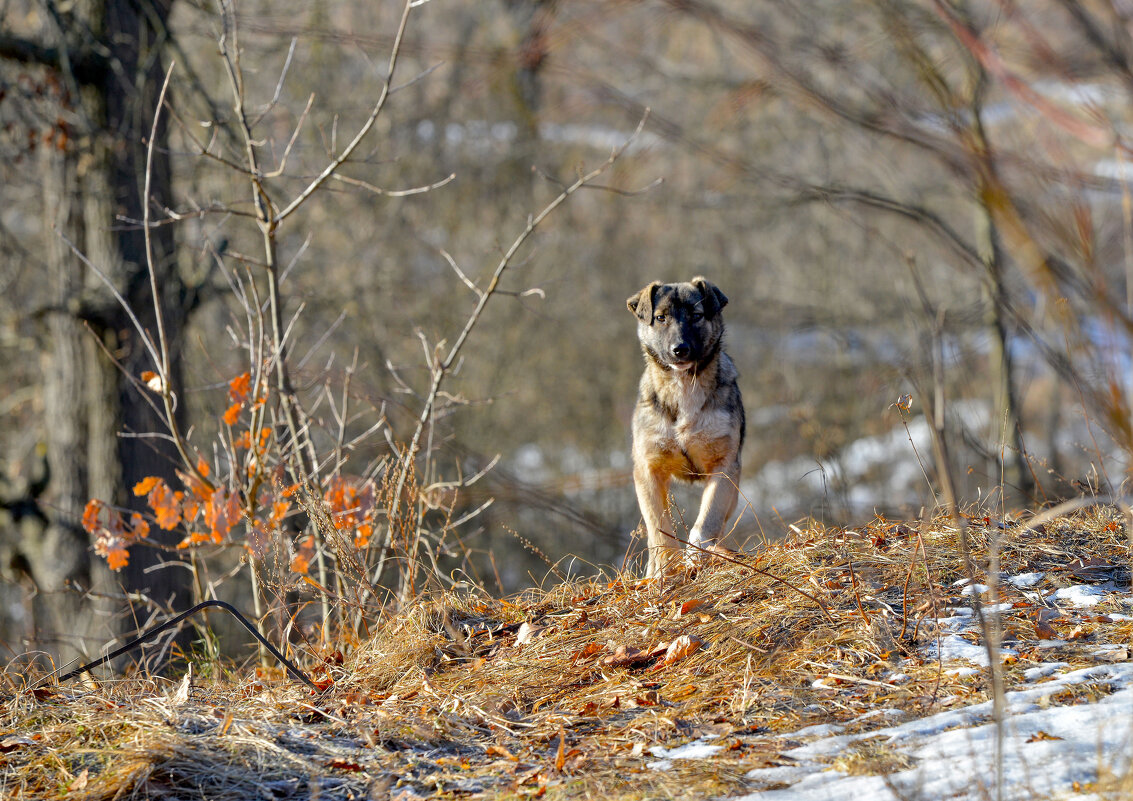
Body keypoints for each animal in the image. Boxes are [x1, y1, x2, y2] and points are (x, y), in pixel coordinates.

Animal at [625, 275, 747, 575]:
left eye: (696, 315)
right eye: (661, 318)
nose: (679, 350)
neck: (683, 389)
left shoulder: (725, 466)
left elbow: (708, 518)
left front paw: (697, 553)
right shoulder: (648, 468)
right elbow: (658, 526)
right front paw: (663, 569)